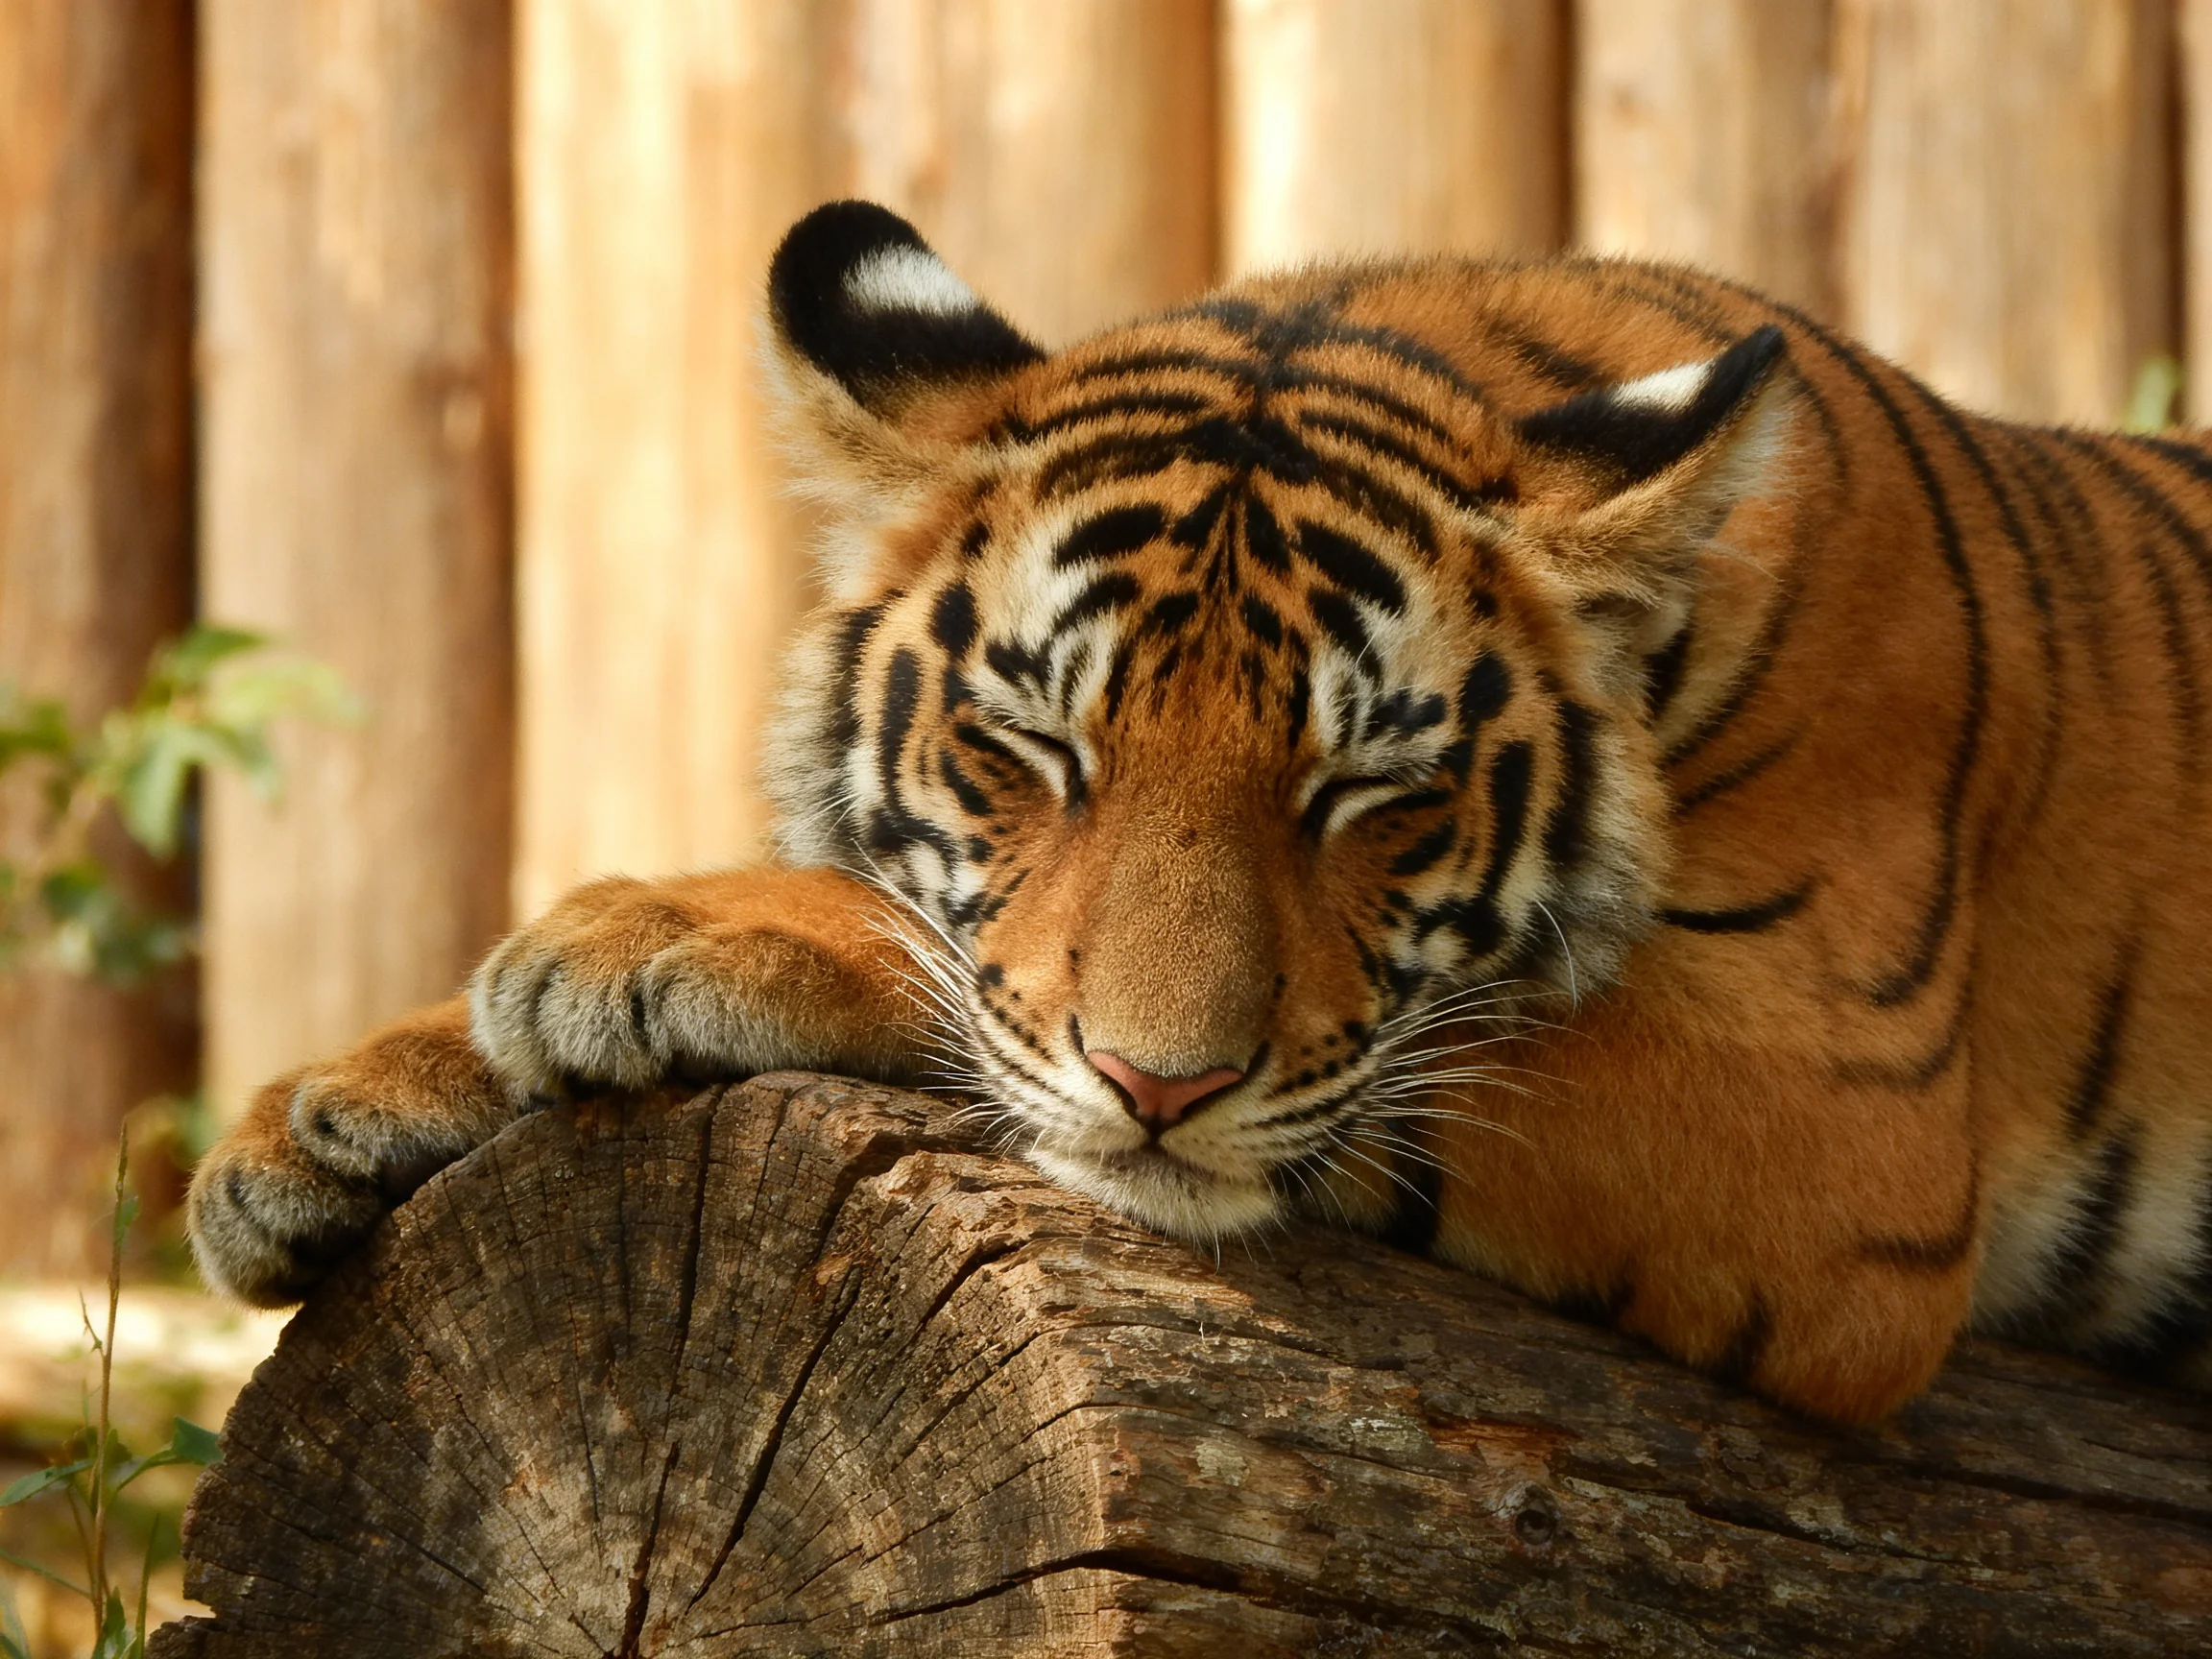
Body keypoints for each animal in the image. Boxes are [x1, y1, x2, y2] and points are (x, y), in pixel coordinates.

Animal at [188, 198, 2212, 1426]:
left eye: (1368, 794)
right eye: (1029, 747)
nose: (1155, 1088)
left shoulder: (1837, 1117)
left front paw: (652, 940)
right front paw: (336, 1110)